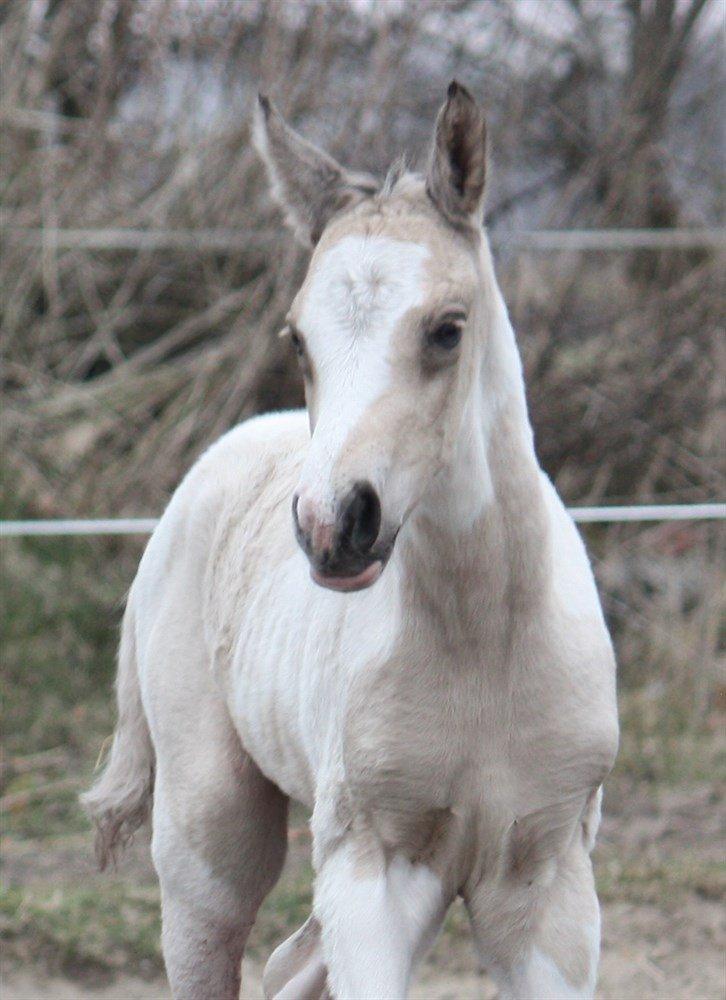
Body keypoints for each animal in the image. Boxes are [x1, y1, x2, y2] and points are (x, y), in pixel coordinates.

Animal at [84, 86, 620, 1000]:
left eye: (448, 329)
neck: (484, 645)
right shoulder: (373, 873)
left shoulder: (549, 888)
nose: (333, 524)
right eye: (298, 338)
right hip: (209, 840)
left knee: (287, 963)